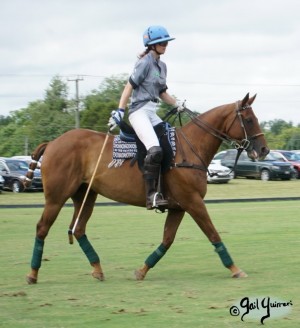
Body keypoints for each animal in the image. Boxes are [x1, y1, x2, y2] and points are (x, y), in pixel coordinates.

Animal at [25, 93, 270, 284]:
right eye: (249, 119)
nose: (264, 150)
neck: (190, 148)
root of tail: (52, 143)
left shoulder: (178, 207)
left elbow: (167, 240)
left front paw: (141, 271)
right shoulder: (193, 201)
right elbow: (212, 233)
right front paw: (235, 269)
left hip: (86, 195)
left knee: (78, 229)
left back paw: (97, 270)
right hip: (57, 197)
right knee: (42, 227)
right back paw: (32, 274)